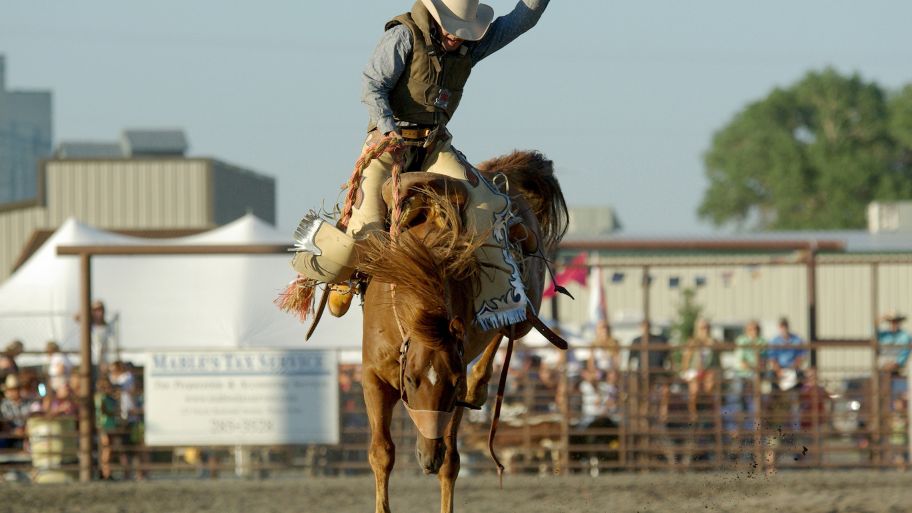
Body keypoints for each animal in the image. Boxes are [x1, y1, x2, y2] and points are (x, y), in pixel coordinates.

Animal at [354, 150, 564, 510]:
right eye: (412, 380)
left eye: (452, 385)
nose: (428, 458)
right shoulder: (372, 377)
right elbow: (382, 453)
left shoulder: (457, 373)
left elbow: (451, 463)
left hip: (526, 312)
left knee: (508, 327)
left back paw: (479, 386)